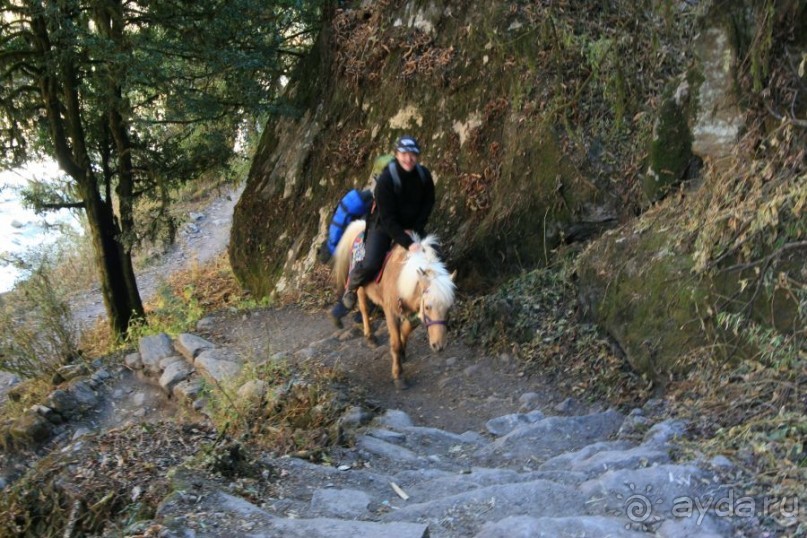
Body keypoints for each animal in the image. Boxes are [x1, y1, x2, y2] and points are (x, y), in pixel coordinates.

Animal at [332, 220, 458, 388]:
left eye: (448, 308)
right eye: (427, 307)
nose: (439, 346)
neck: (402, 278)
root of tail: (361, 228)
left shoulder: (413, 312)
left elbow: (405, 329)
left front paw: (403, 352)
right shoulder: (391, 312)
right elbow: (395, 342)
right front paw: (398, 375)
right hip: (361, 287)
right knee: (364, 309)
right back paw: (370, 337)